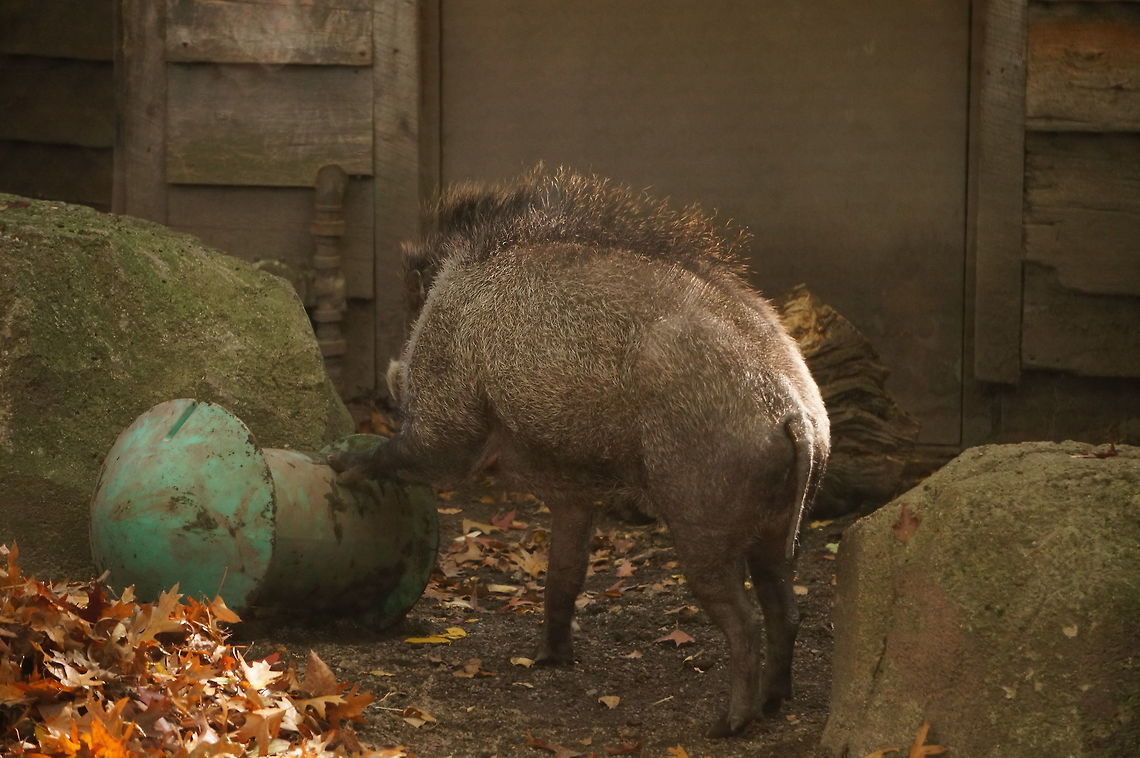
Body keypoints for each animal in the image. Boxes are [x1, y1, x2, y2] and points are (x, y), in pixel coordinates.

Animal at [333, 167, 829, 737]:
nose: (394, 378)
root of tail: (796, 415)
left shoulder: (449, 425)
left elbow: (422, 453)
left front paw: (339, 466)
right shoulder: (572, 493)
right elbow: (564, 573)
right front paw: (549, 661)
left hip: (702, 521)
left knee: (745, 620)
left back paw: (726, 725)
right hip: (778, 532)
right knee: (785, 610)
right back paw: (773, 703)